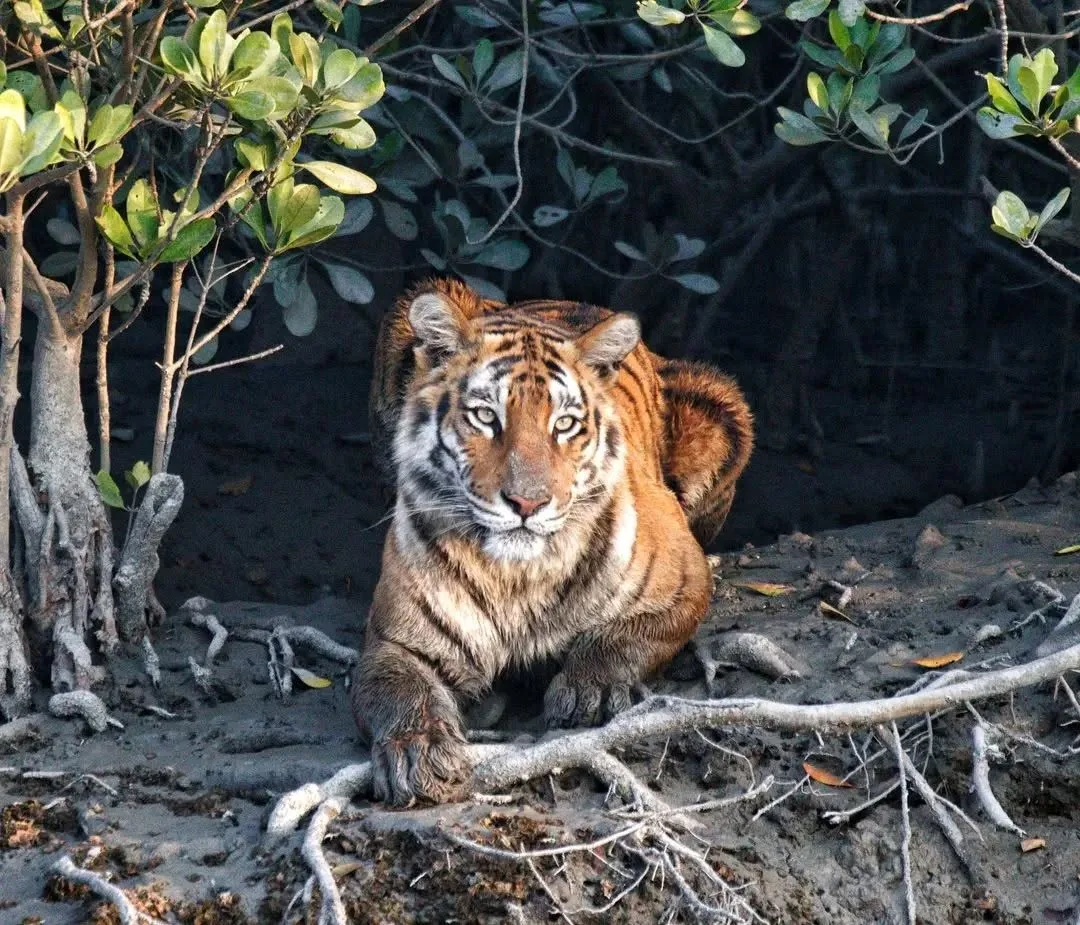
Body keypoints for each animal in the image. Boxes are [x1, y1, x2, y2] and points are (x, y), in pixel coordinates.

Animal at [353, 278, 753, 804]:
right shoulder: (394, 643)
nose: (528, 502)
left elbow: (624, 637)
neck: (515, 576)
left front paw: (589, 692)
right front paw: (417, 752)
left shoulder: (686, 584)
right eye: (485, 416)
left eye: (564, 424)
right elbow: (398, 690)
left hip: (720, 402)